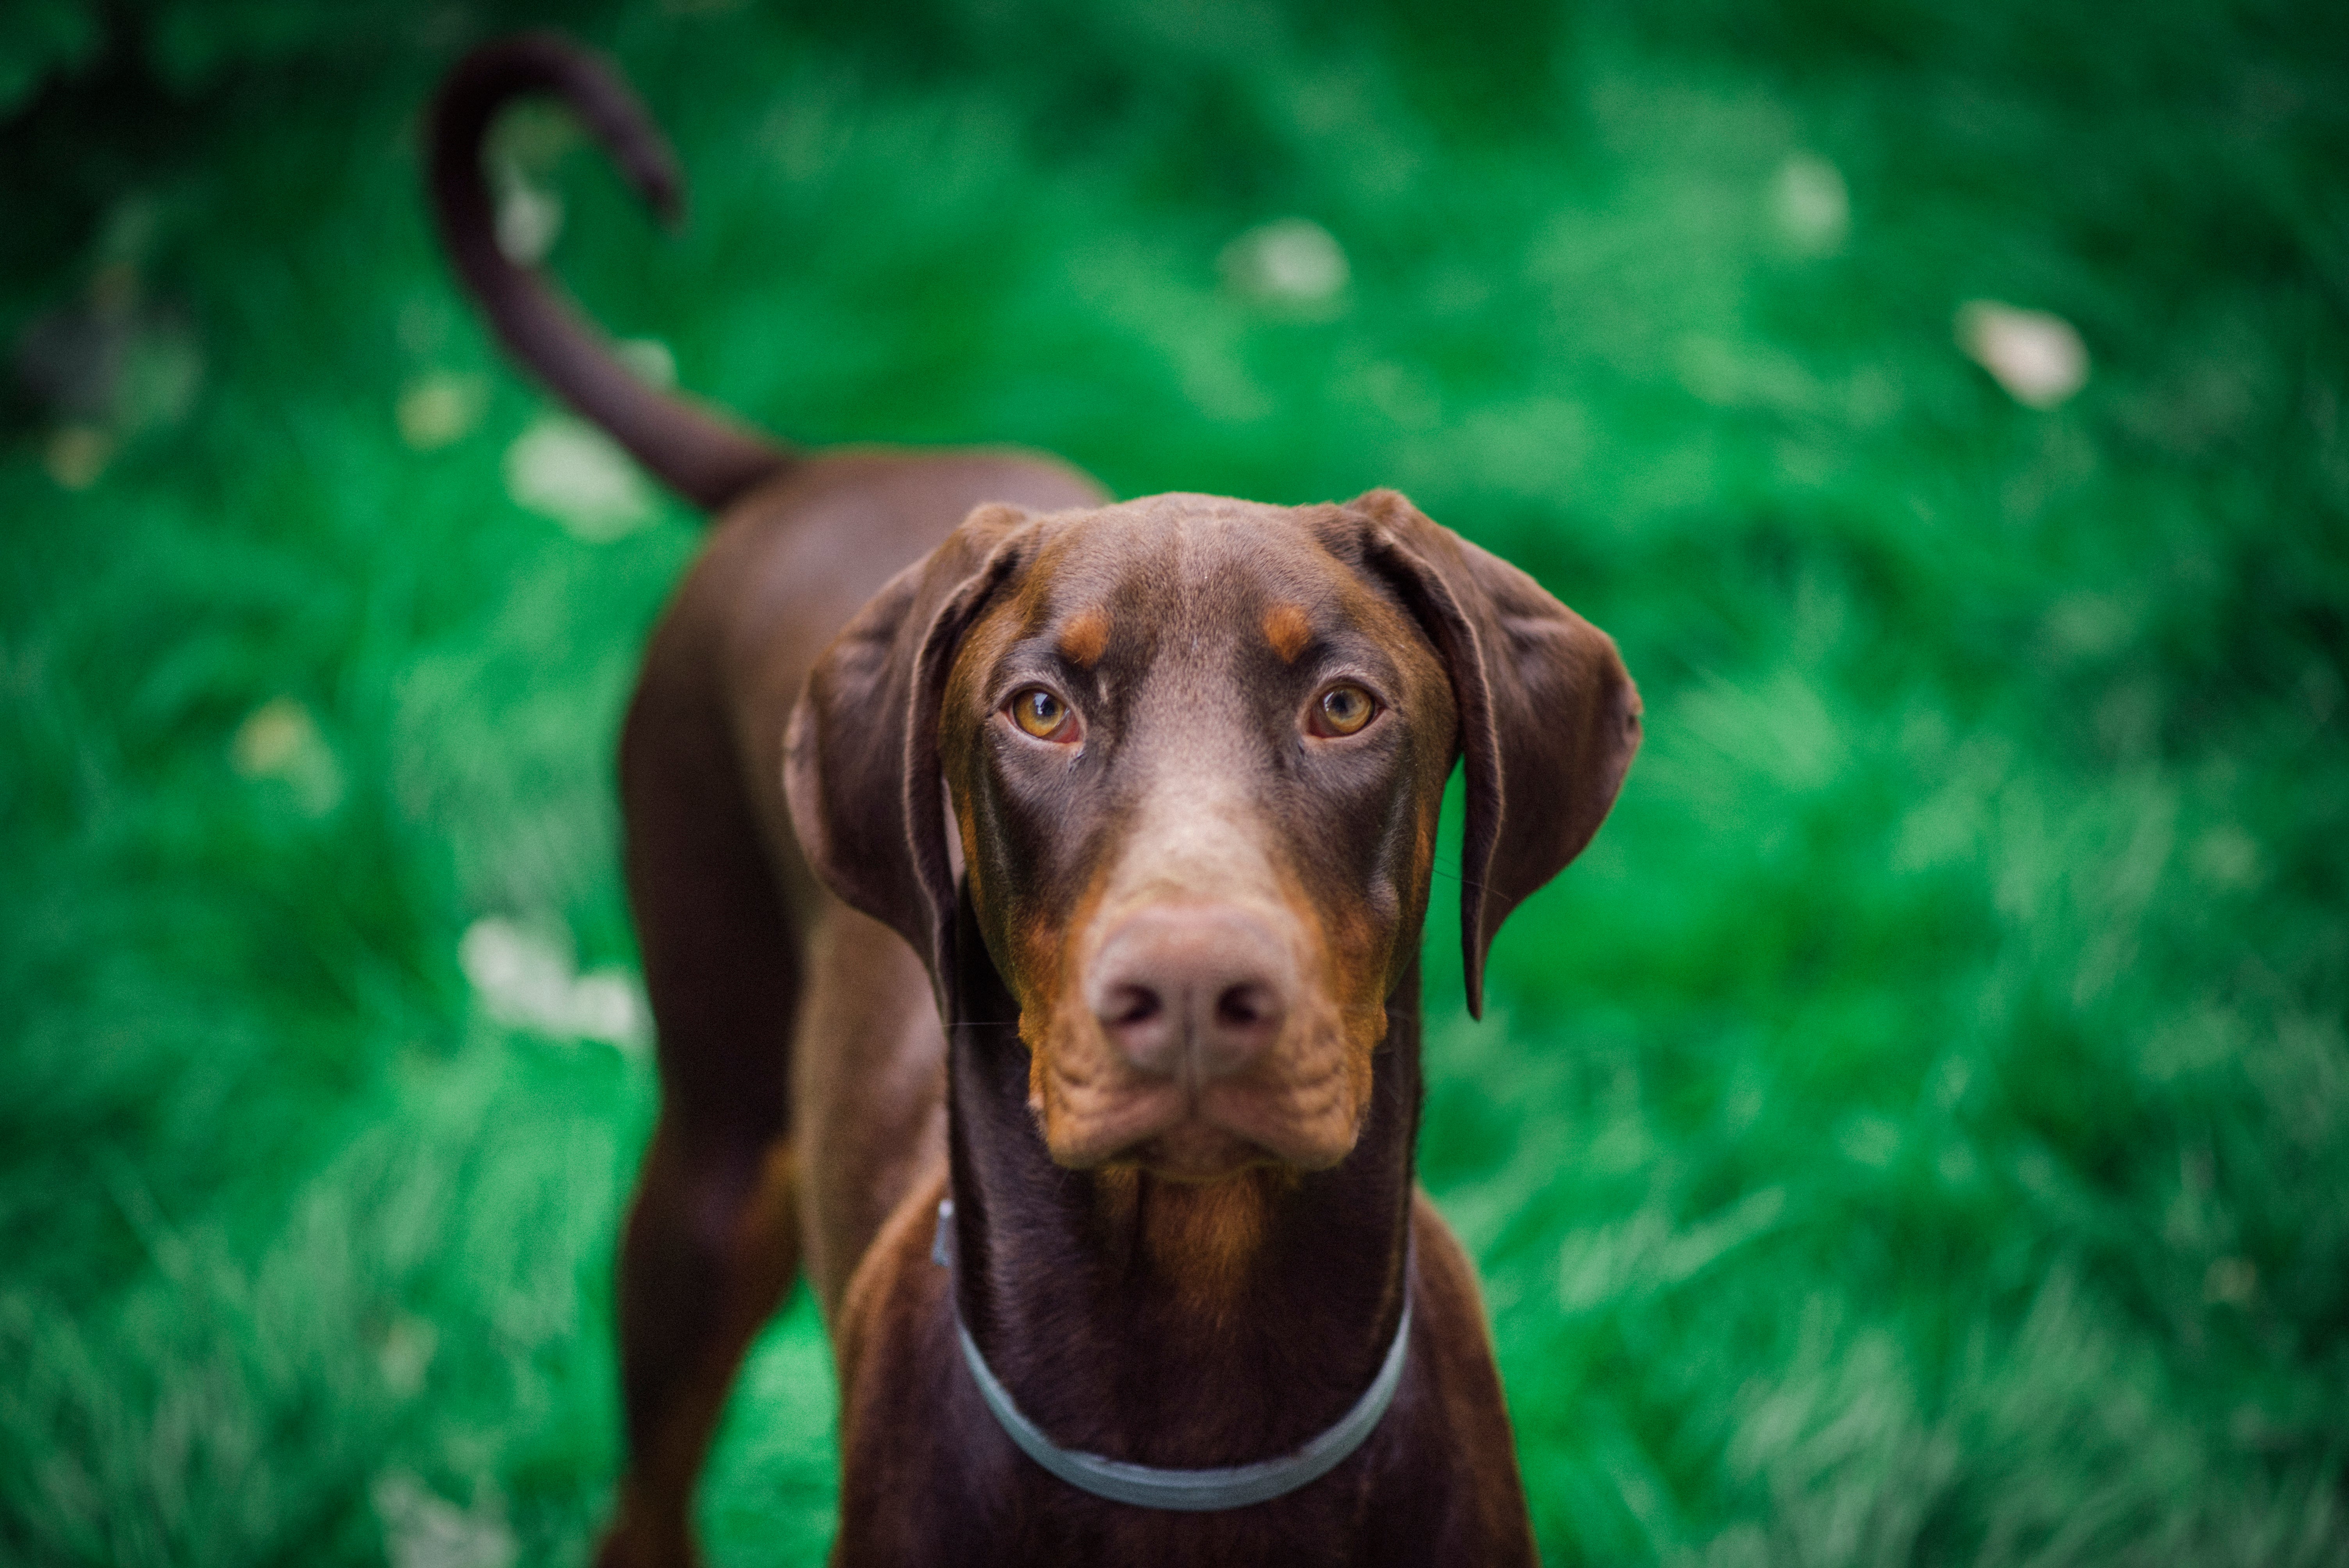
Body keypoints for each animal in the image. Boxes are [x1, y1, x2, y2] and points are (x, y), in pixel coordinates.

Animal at [432, 36, 1635, 1568]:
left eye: (1346, 706)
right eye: (1040, 710)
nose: (1191, 991)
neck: (1190, 1439)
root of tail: (810, 468)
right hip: (710, 1158)